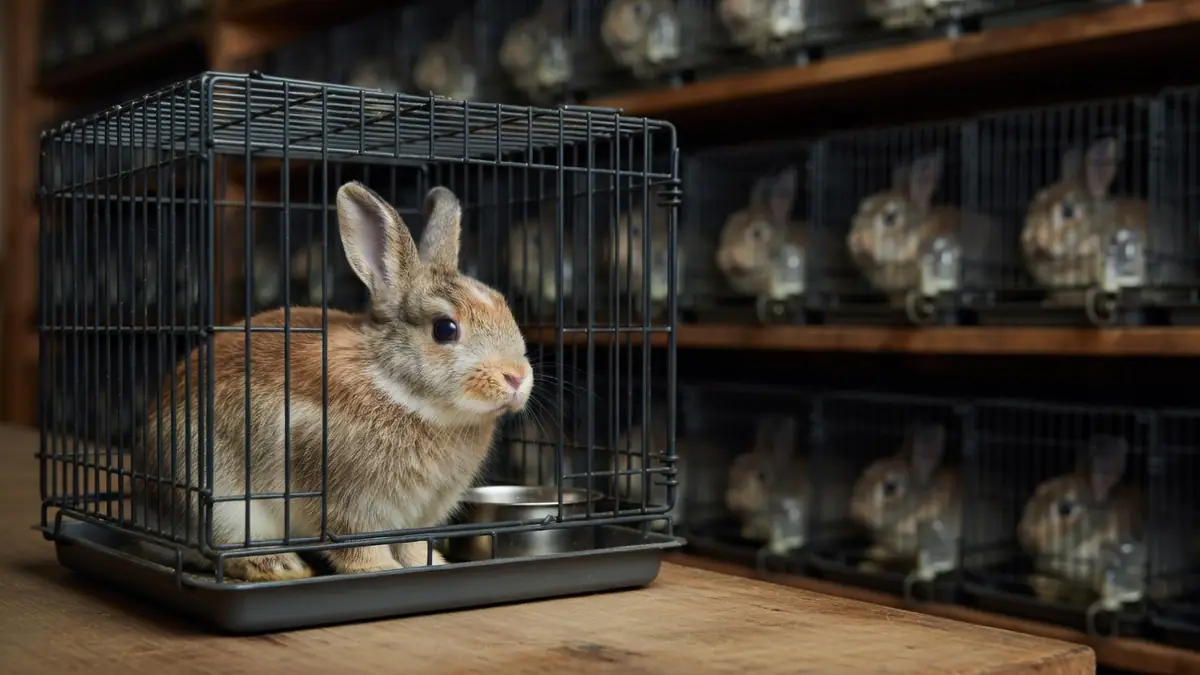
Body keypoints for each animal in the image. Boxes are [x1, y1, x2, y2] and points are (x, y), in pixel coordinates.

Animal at [132, 182, 535, 581]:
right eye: (445, 329)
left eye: (504, 306)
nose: (516, 376)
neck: (396, 388)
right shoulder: (348, 501)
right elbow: (358, 543)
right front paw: (379, 568)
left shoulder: (419, 515)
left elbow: (412, 545)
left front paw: (431, 562)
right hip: (220, 502)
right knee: (222, 551)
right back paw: (280, 565)